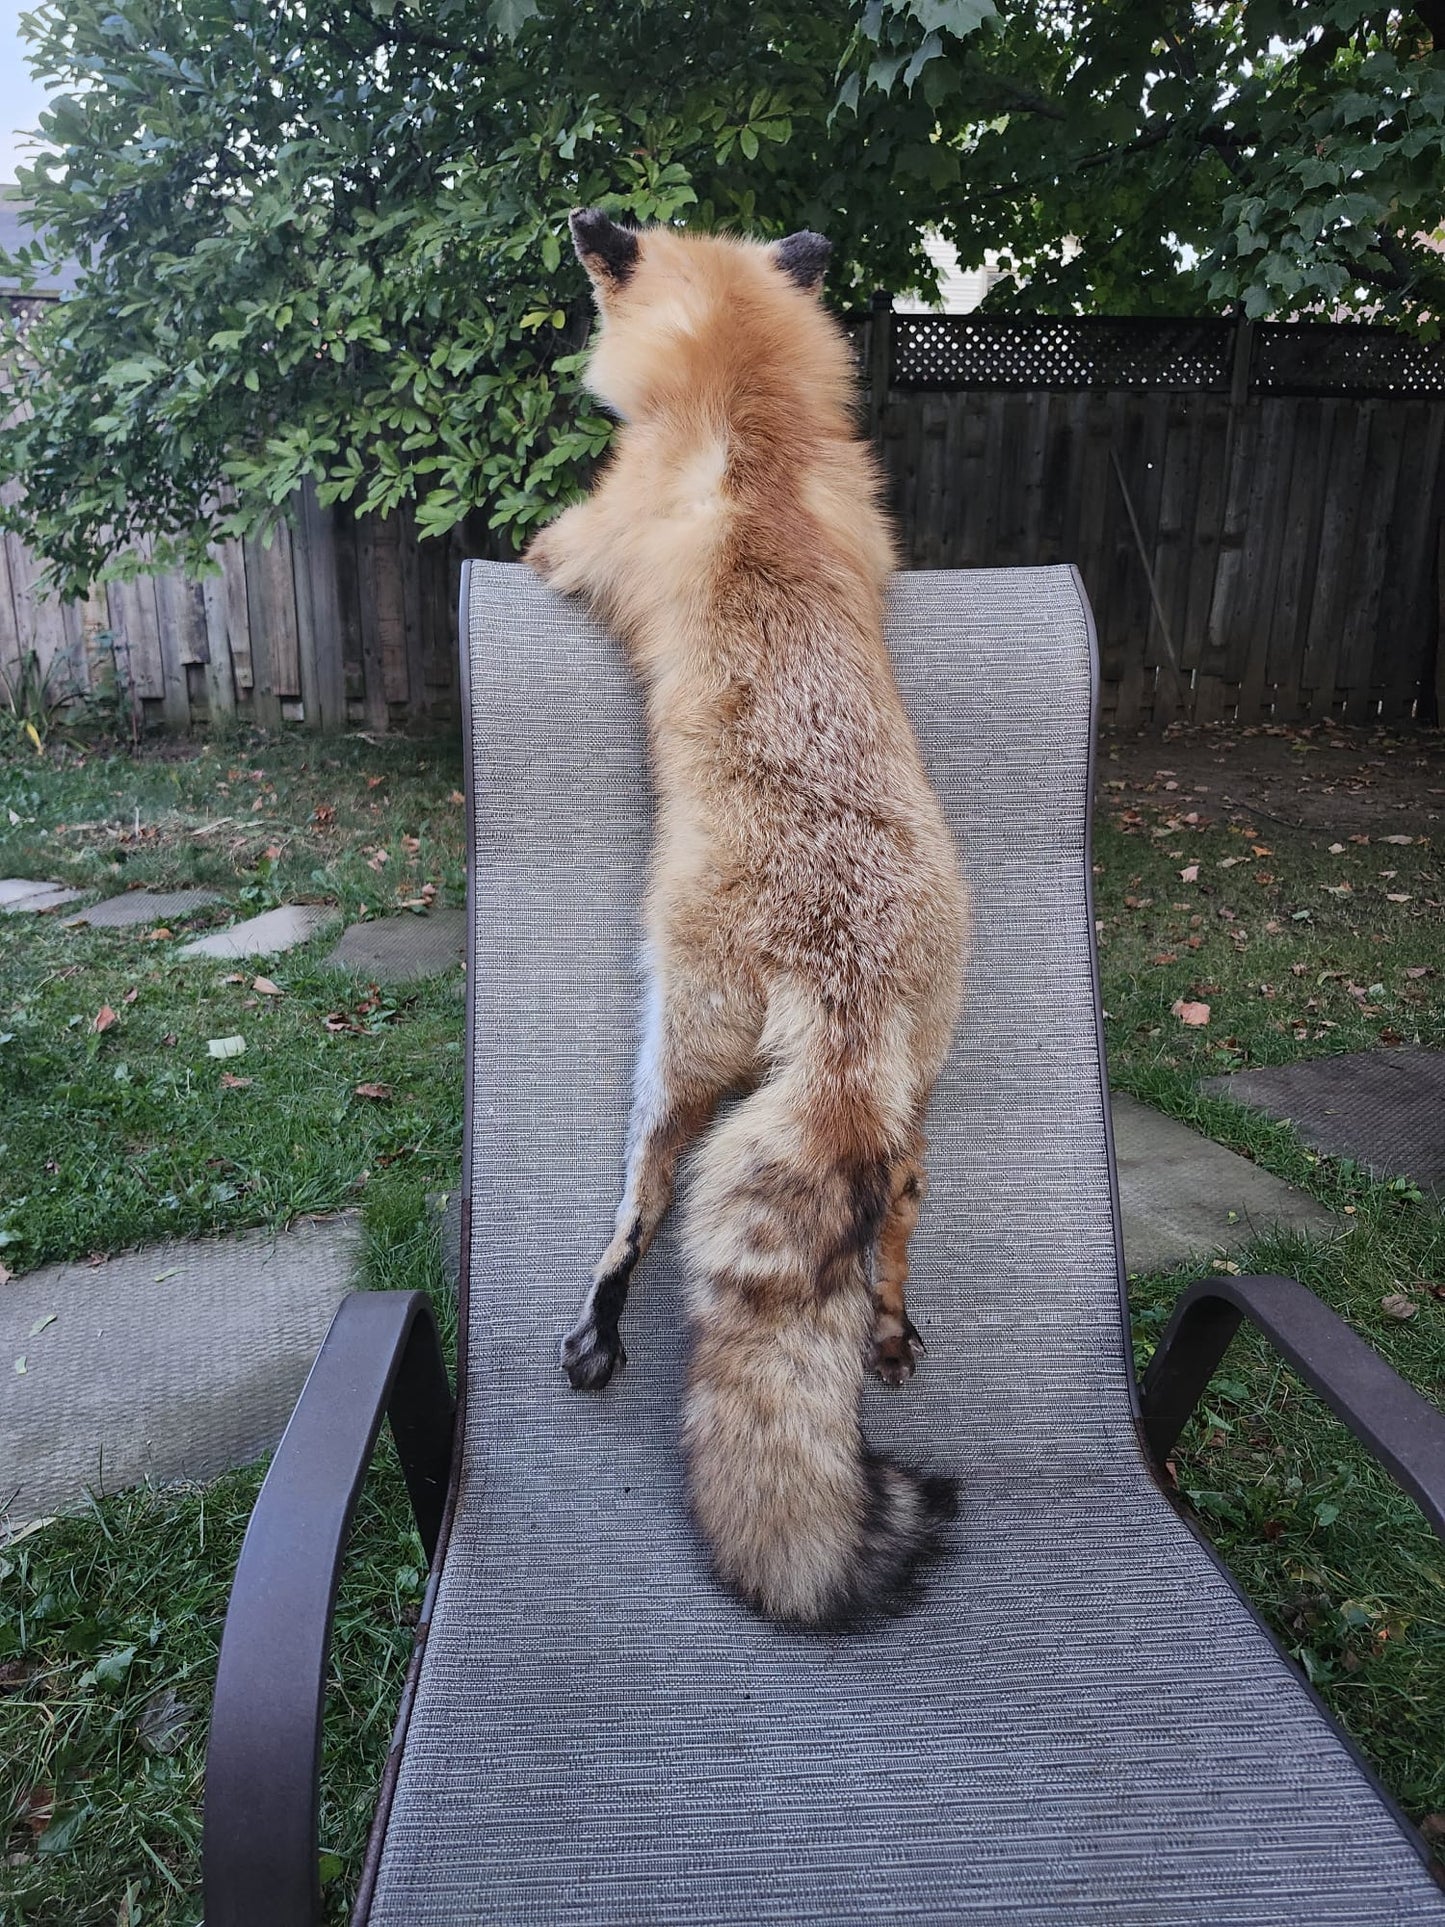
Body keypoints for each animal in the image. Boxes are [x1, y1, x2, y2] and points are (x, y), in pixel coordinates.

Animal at [524, 209, 967, 1628]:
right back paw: (886, 1325)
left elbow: (542, 541)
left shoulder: (588, 533)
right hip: (917, 1084)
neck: (753, 426)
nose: (580, 218)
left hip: (678, 1041)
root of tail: (847, 984)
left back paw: (601, 1323)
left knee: (646, 1196)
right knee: (895, 1209)